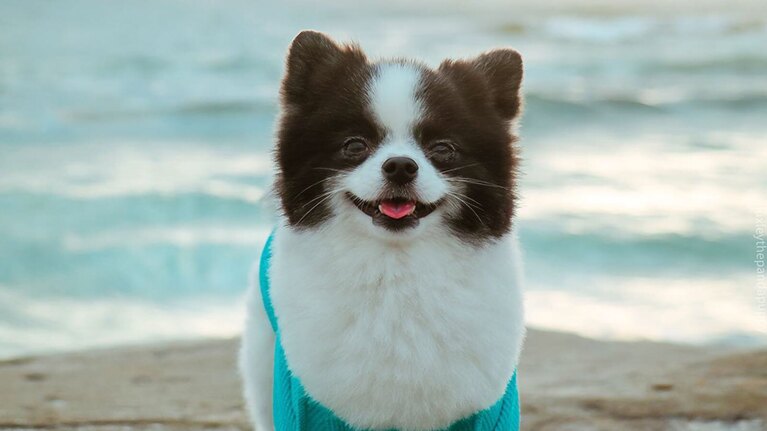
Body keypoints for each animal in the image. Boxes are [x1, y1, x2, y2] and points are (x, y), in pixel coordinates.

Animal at [242, 31, 528, 431]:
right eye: (355, 145)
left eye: (443, 149)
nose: (400, 166)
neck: (395, 270)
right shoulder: (301, 404)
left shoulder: (489, 408)